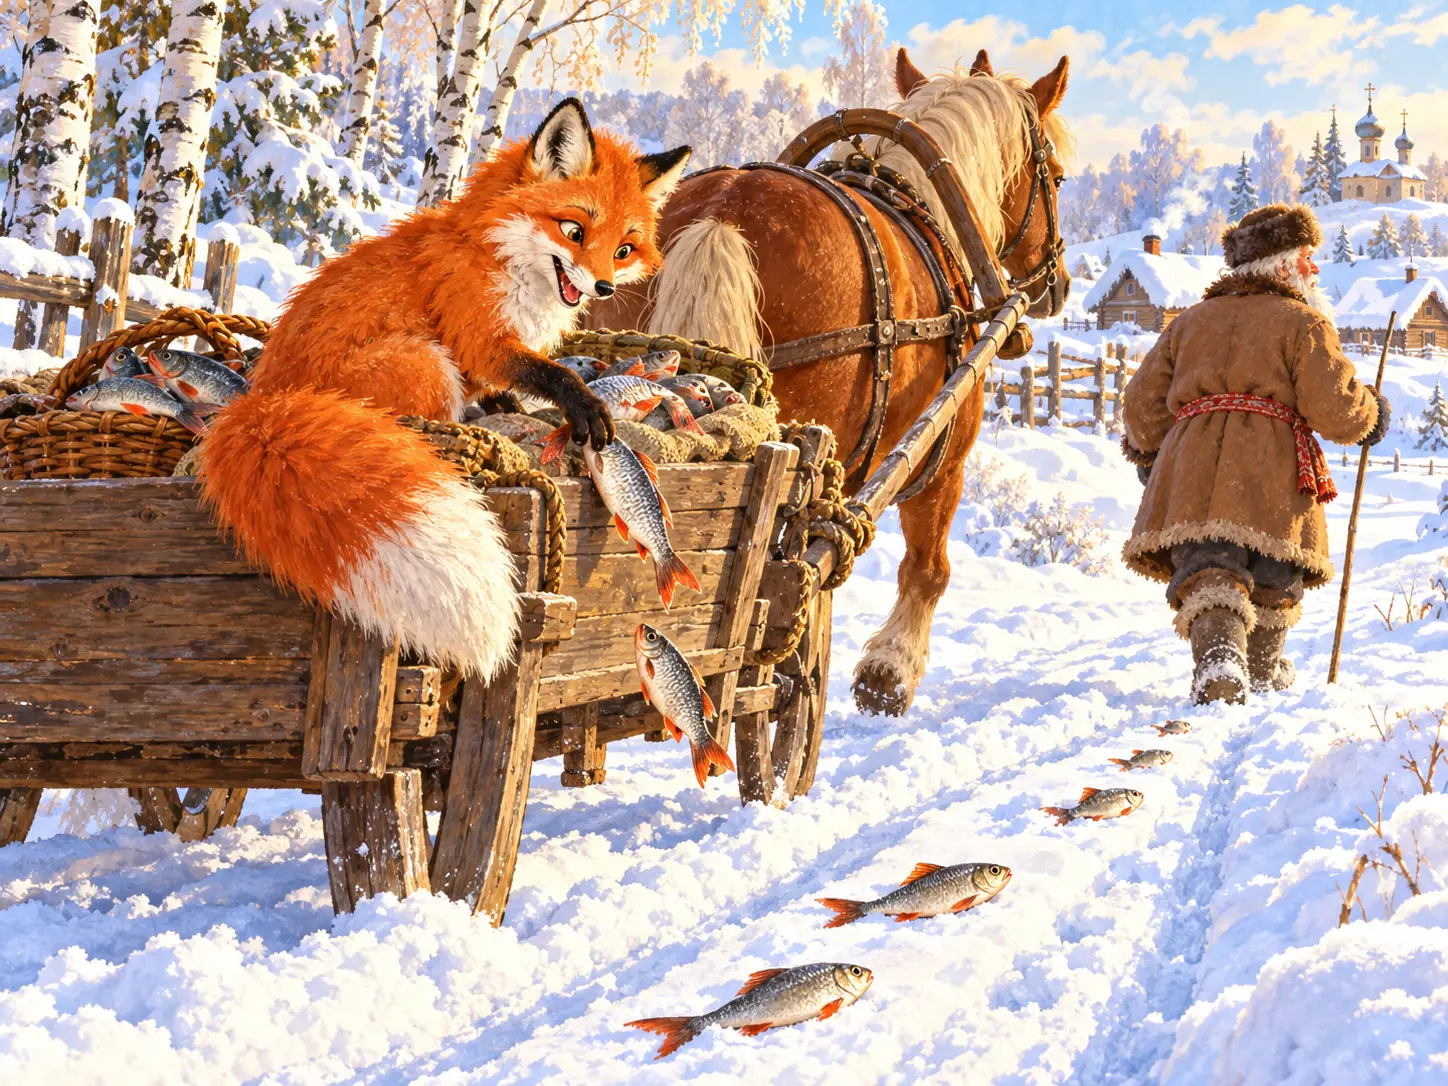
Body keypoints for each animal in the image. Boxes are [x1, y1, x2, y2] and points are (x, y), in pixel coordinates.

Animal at [199, 99, 690, 679]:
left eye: (623, 249)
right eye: (573, 231)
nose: (604, 288)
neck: (498, 255)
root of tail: (263, 402)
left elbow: (508, 389)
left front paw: (510, 404)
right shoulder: (479, 340)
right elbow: (555, 373)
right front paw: (583, 406)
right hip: (428, 363)